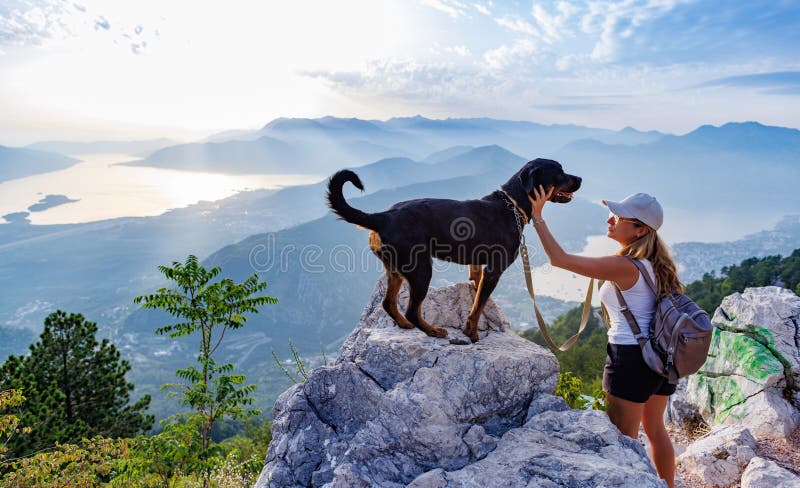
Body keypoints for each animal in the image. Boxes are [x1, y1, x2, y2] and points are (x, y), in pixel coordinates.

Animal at [326, 158, 580, 342]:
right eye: (559, 171)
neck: (512, 204)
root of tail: (383, 217)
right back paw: (432, 330)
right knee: (412, 310)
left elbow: (478, 296)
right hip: (420, 270)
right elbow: (478, 306)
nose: (579, 178)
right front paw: (473, 332)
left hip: (395, 270)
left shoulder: (478, 267)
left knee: (388, 303)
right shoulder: (494, 270)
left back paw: (405, 325)